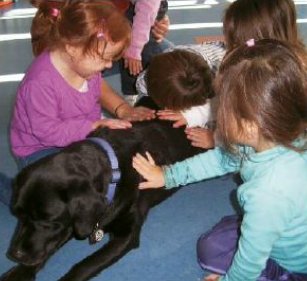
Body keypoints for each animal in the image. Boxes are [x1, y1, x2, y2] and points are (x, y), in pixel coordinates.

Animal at [0, 118, 205, 280]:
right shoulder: (74, 223)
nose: (14, 254)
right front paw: (19, 272)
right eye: (17, 214)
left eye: (48, 221)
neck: (114, 170)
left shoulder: (125, 235)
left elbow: (84, 265)